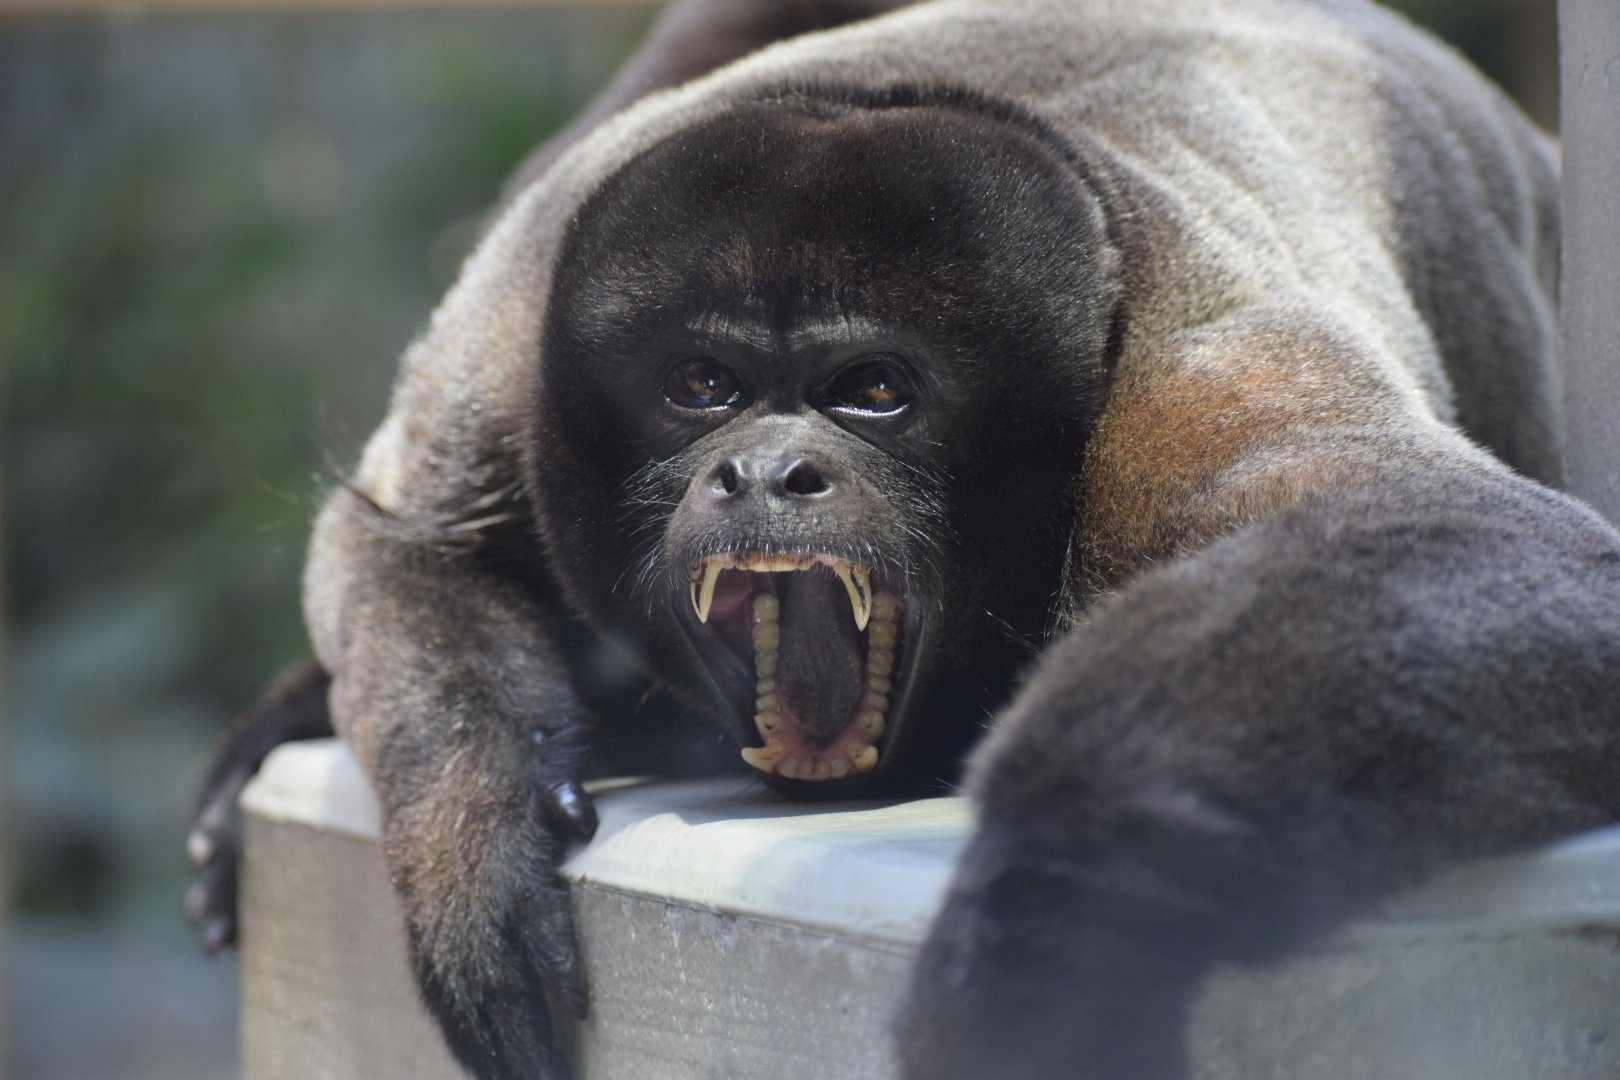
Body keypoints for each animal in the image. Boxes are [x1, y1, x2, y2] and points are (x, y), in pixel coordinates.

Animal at [188, 1, 1620, 1078]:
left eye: (873, 390)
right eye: (702, 386)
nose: (769, 470)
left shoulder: (1199, 385)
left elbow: (1470, 550)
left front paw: (1043, 937)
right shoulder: (508, 350)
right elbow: (396, 539)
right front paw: (472, 846)